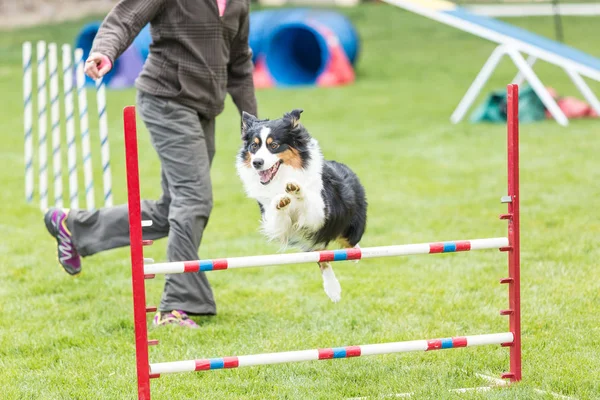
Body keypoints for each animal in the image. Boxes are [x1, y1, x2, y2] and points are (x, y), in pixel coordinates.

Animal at [237, 108, 368, 302]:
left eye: (274, 145)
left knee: (349, 242)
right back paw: (333, 289)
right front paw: (281, 201)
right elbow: (278, 215)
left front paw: (296, 189)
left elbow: (307, 200)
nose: (257, 163)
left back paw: (353, 256)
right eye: (254, 146)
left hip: (350, 225)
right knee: (322, 258)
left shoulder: (320, 213)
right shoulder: (277, 224)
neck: (282, 176)